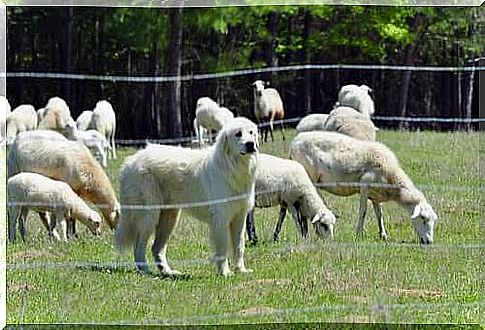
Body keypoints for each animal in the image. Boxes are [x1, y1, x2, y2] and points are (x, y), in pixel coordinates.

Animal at [114, 117, 260, 278]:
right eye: (238, 134)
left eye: (251, 132)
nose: (250, 144)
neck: (233, 167)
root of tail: (130, 161)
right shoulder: (221, 219)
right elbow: (222, 249)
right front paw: (225, 272)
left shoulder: (240, 217)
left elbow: (239, 246)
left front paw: (241, 270)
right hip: (150, 215)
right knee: (139, 244)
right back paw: (145, 270)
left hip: (169, 218)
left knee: (156, 248)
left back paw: (168, 272)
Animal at [290, 132, 436, 245]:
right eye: (423, 218)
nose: (429, 242)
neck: (392, 176)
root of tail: (295, 142)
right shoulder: (365, 185)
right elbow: (363, 211)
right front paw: (359, 233)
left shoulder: (376, 194)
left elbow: (379, 214)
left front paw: (383, 235)